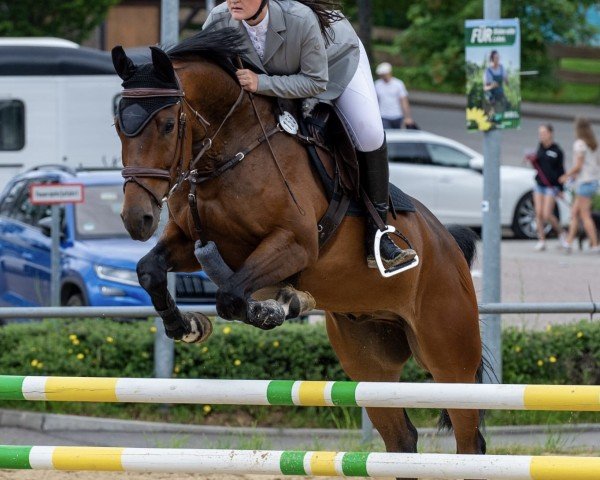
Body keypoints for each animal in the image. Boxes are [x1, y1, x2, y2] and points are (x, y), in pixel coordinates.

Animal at [112, 27, 486, 472]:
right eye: (118, 126)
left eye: (169, 125)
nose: (137, 218)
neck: (231, 151)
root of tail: (449, 246)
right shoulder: (194, 242)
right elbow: (150, 270)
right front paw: (187, 326)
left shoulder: (294, 244)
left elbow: (231, 296)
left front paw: (279, 306)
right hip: (368, 360)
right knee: (401, 438)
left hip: (448, 356)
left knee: (469, 441)